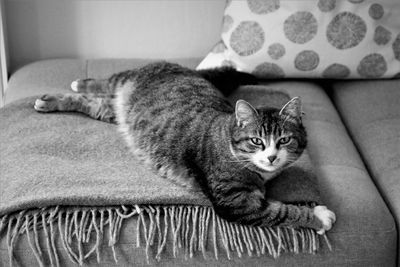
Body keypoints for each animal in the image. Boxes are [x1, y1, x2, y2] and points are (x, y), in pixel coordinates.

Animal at [33, 61, 334, 234]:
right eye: (256, 141)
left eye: (284, 140)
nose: (271, 157)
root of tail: (185, 69)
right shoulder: (237, 202)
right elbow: (283, 212)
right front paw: (319, 216)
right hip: (127, 78)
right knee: (106, 81)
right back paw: (80, 82)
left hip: (113, 111)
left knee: (92, 102)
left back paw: (51, 101)